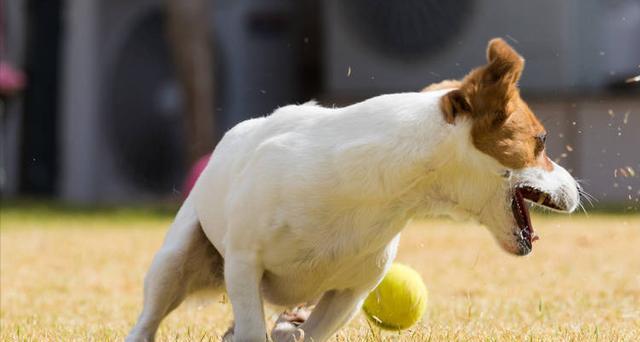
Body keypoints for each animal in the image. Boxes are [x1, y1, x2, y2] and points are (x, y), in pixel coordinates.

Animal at [125, 39, 580, 342]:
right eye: (540, 142)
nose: (576, 186)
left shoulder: (350, 293)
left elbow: (309, 333)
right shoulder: (243, 263)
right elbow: (254, 329)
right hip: (174, 261)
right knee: (150, 317)